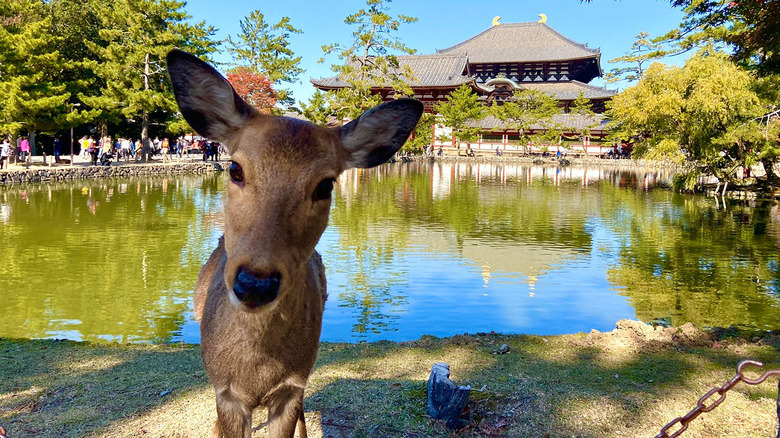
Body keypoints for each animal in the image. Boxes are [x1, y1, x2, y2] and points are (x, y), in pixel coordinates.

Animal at [164, 48, 420, 438]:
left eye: (326, 185)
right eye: (235, 168)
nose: (255, 284)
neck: (255, 369)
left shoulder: (292, 386)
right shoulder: (225, 391)